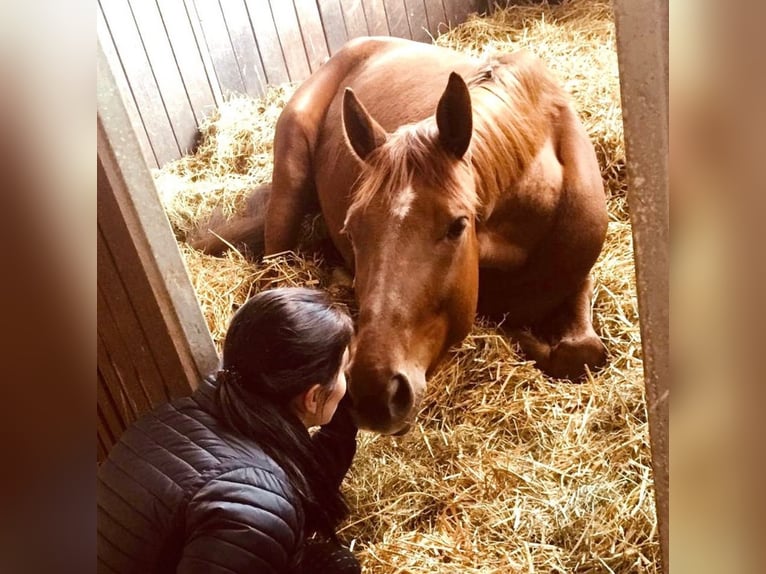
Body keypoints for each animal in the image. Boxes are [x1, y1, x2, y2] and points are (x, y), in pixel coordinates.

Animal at [194, 37, 612, 436]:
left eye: (458, 225)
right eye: (353, 229)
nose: (373, 392)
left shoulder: (579, 277)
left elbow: (585, 352)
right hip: (289, 182)